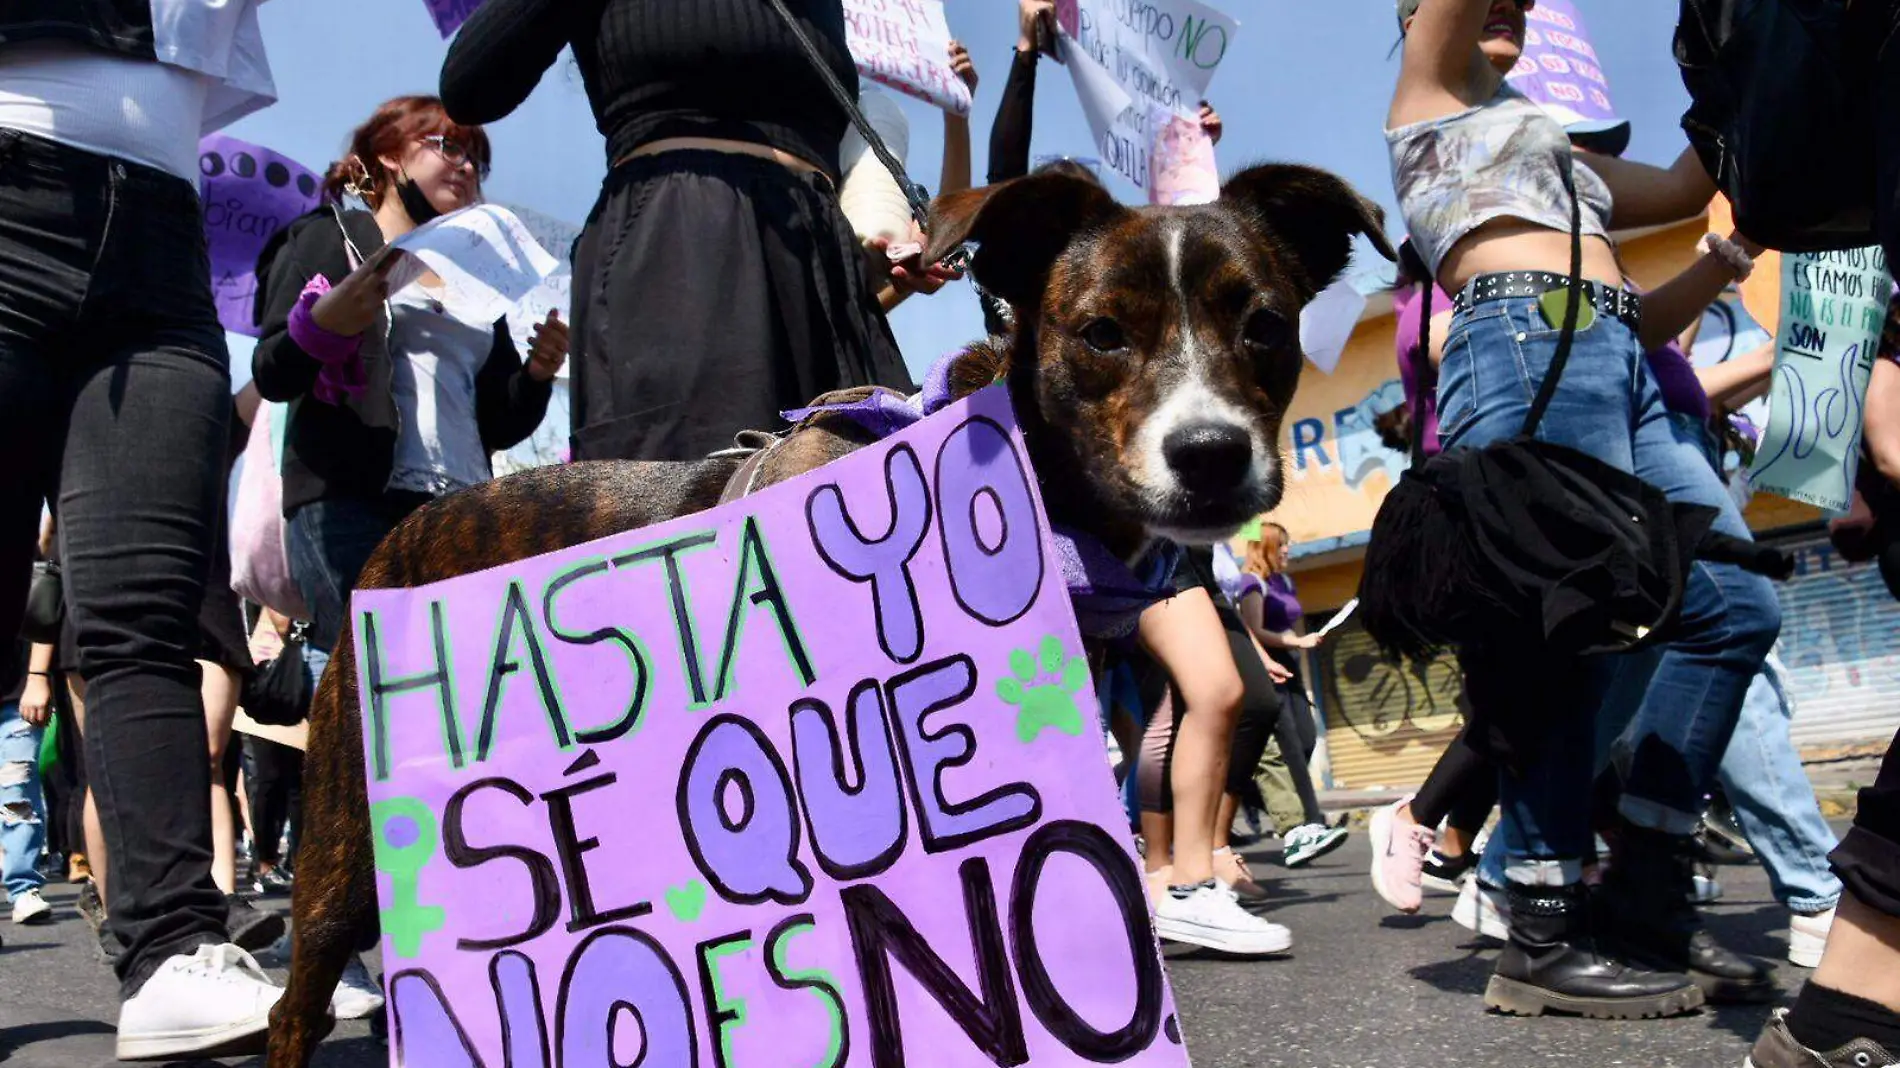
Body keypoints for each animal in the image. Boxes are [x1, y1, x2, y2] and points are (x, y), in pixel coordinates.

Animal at [271, 162, 1398, 1056]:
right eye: (1102, 334)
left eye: (1265, 327)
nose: (1210, 454)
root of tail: (402, 534)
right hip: (343, 835)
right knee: (300, 999)